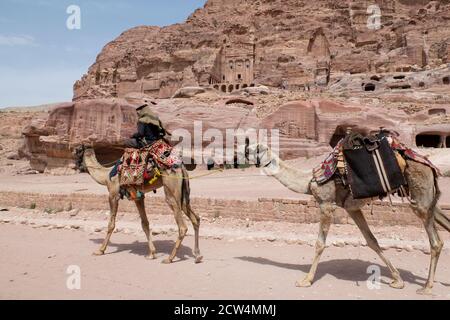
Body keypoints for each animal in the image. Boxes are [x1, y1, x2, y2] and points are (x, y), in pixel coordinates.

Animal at [243, 143, 450, 296]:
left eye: (249, 149)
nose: (238, 156)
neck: (309, 181)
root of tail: (430, 166)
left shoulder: (326, 204)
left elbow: (319, 244)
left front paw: (306, 280)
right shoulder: (352, 208)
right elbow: (371, 241)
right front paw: (397, 280)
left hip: (420, 194)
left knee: (435, 240)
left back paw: (427, 287)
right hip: (426, 197)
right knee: (443, 220)